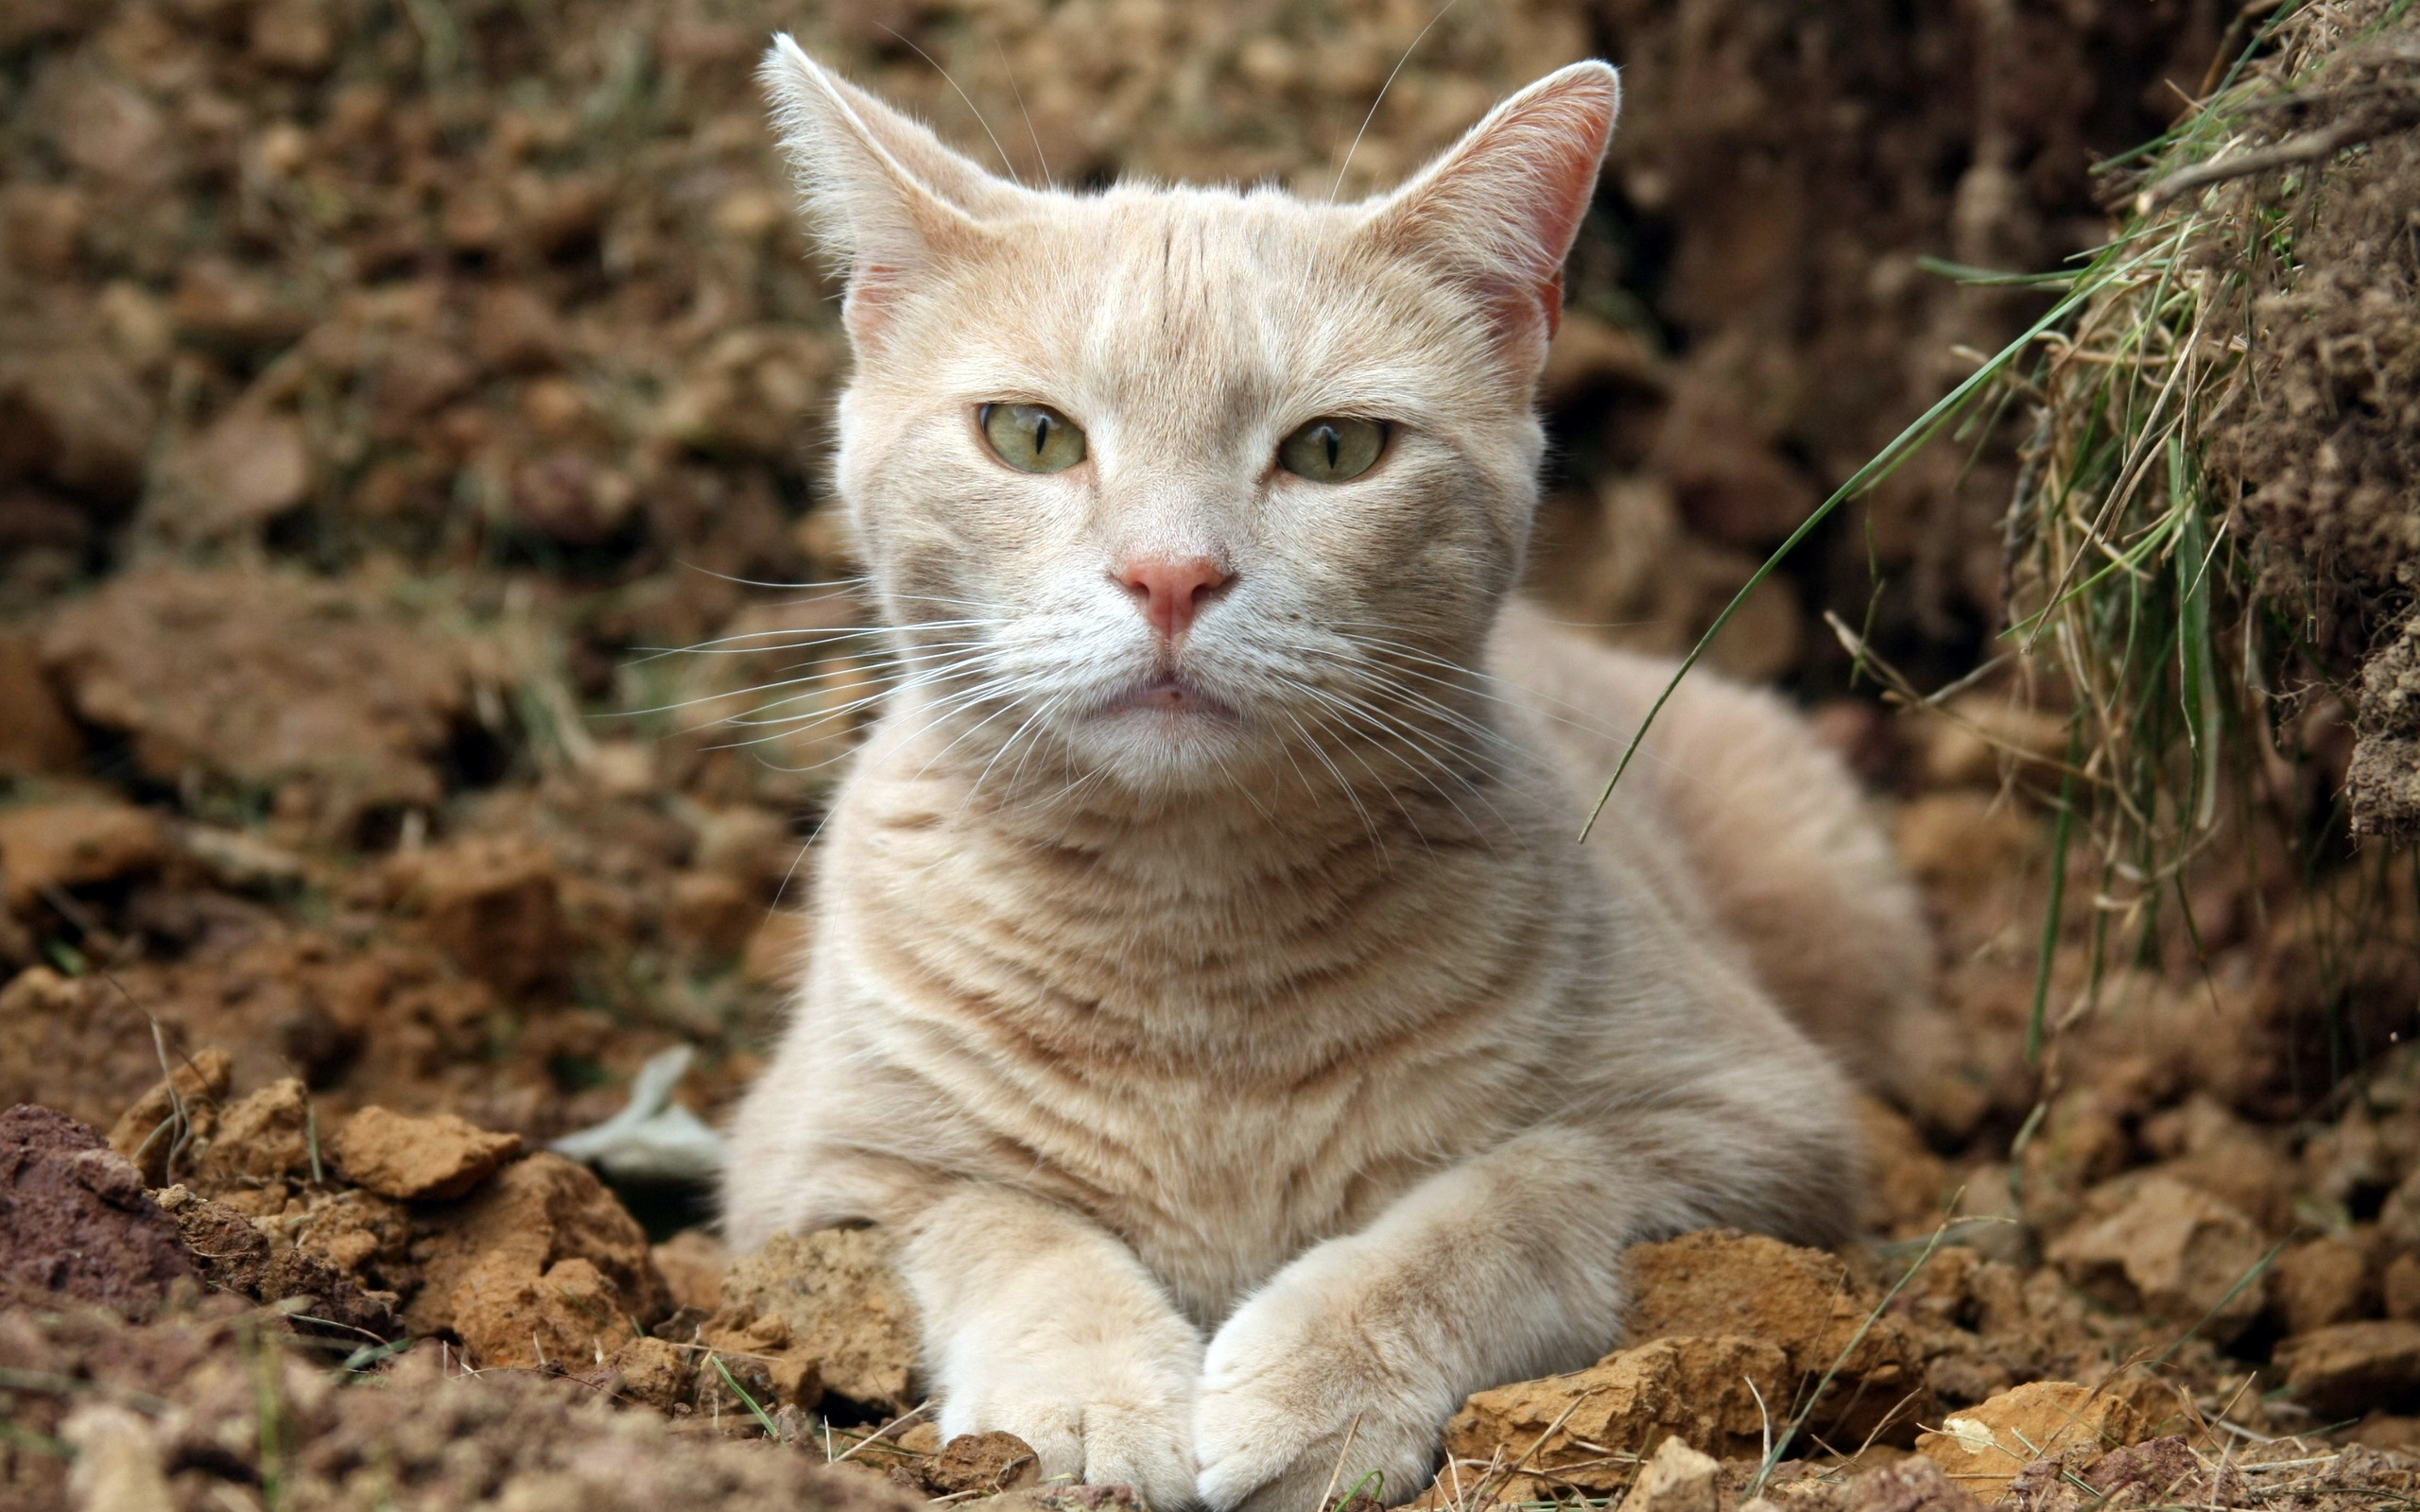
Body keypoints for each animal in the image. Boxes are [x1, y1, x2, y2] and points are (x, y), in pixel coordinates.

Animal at [716, 41, 1926, 1509]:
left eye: (1335, 450)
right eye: (1030, 436)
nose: (1169, 575)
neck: (1188, 925)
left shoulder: (1754, 1126)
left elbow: (1513, 1193)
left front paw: (1323, 1377)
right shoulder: (813, 1172)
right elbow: (1009, 1226)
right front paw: (1088, 1400)